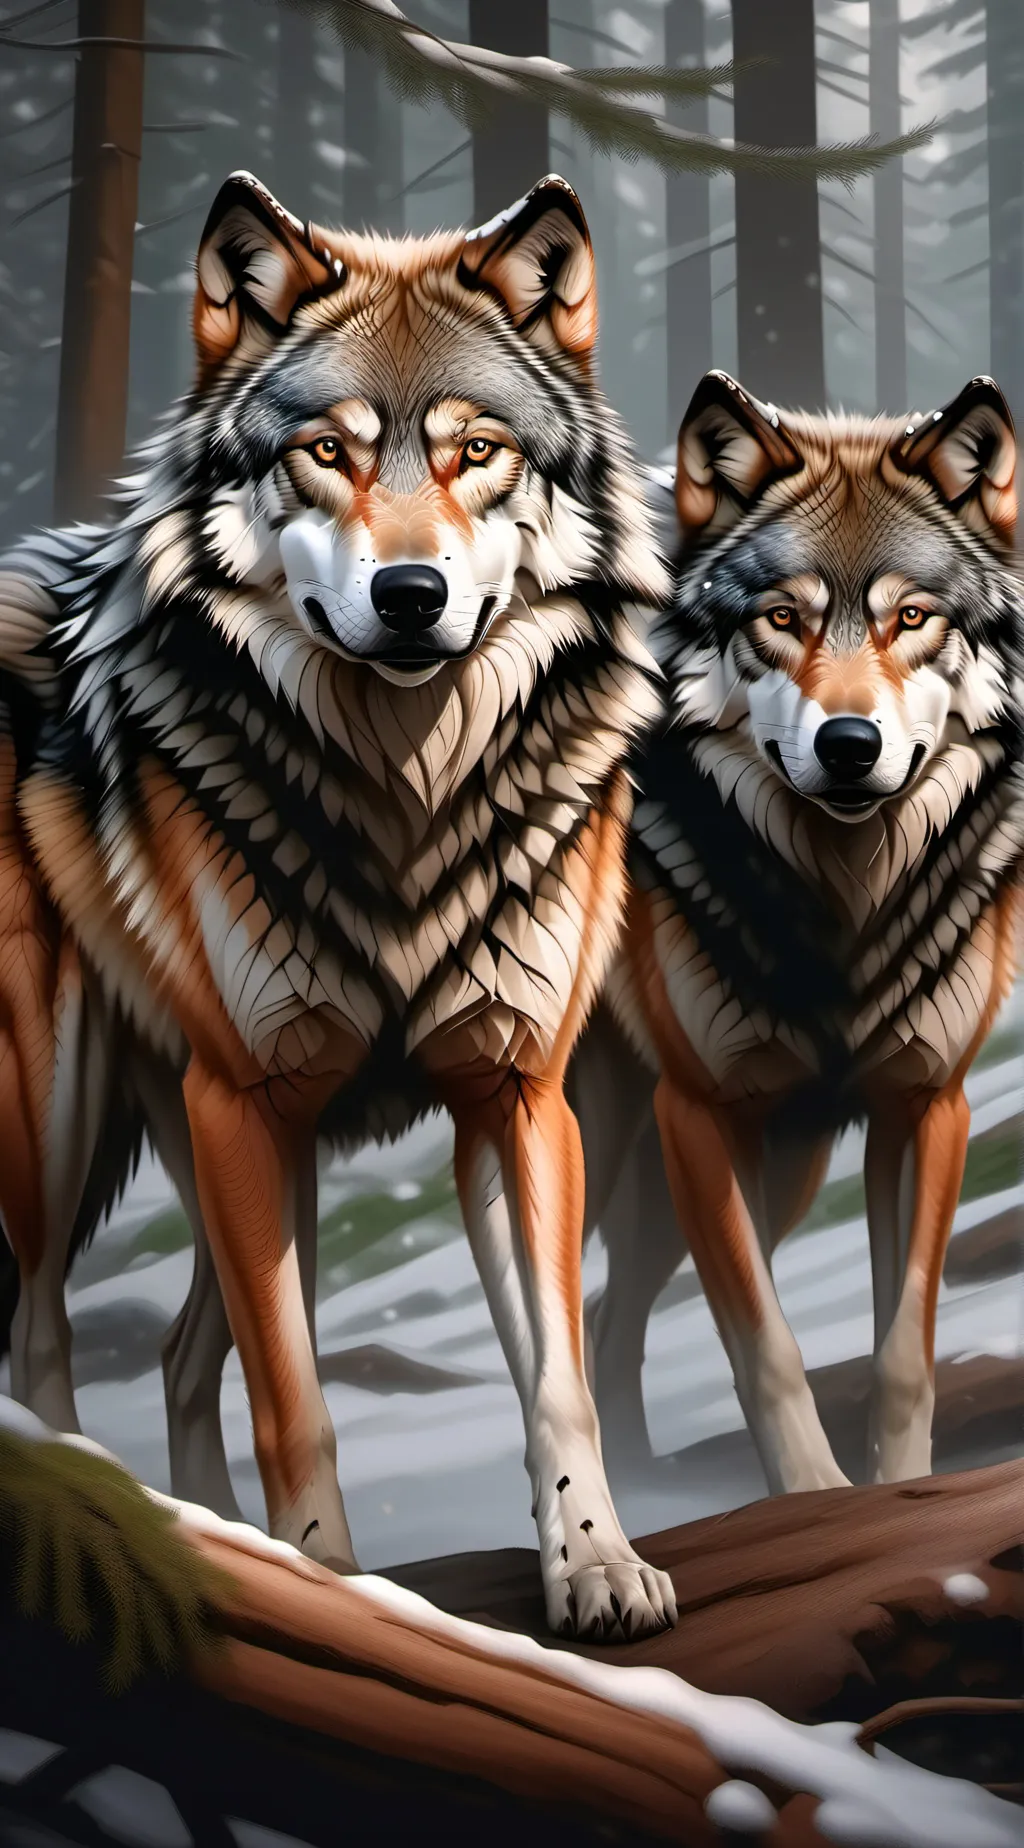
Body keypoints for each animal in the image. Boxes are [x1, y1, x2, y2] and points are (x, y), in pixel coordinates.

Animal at [0, 170, 677, 1640]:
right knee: (43, 1332)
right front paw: (337, 1582)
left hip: (237, 1142)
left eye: (477, 452)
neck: (402, 797)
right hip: (67, 1119)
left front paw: (596, 1564)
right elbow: (295, 1398)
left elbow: (560, 1383)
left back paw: (206, 1532)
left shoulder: (516, 1097)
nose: (409, 595)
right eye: (327, 450)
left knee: (181, 1356)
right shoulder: (246, 1102)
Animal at [573, 369, 1024, 1492]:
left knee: (607, 1316)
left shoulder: (925, 1107)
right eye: (782, 617)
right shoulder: (702, 1113)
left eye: (912, 617)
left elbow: (904, 1349)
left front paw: (898, 1494)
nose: (850, 743)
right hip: (609, 1135)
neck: (842, 907)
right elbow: (767, 1346)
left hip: (786, 1165)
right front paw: (815, 1497)